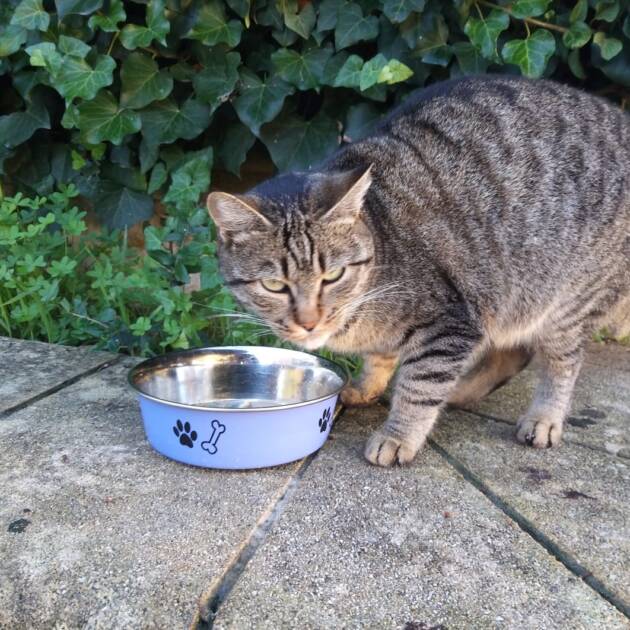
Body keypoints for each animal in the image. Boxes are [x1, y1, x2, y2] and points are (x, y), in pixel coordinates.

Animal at [207, 75, 630, 467]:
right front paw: (367, 385)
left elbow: (421, 386)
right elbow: (380, 357)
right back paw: (461, 392)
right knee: (513, 353)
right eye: (274, 285)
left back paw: (544, 417)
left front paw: (398, 437)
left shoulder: (449, 323)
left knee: (562, 363)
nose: (309, 322)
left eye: (333, 276)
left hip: (567, 302)